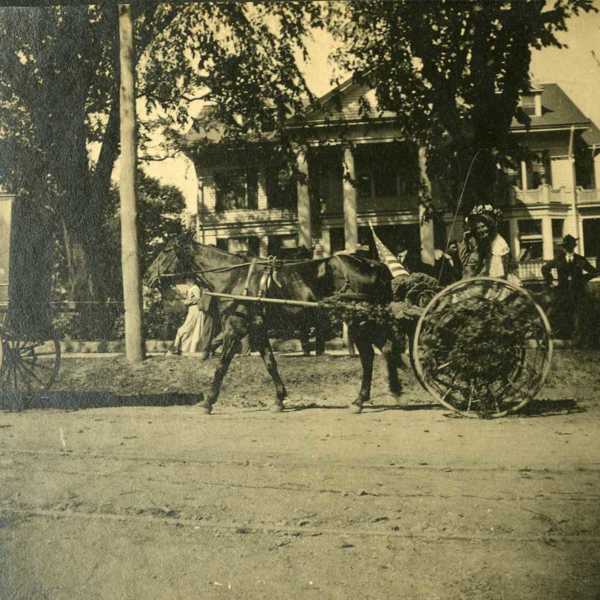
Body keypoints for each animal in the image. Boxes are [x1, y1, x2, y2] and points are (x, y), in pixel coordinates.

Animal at [148, 239, 406, 412]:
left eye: (166, 251)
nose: (149, 276)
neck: (235, 279)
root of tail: (372, 264)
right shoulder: (258, 331)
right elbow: (271, 363)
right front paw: (280, 398)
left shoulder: (235, 329)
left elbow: (222, 366)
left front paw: (208, 401)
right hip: (365, 321)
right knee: (383, 350)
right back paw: (387, 392)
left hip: (359, 321)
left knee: (371, 355)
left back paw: (364, 399)